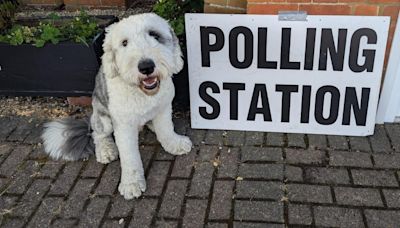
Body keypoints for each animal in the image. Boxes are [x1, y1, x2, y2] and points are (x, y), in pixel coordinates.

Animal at [41, 13, 193, 200]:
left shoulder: (163, 108)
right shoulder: (124, 126)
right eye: (124, 43)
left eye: (154, 35)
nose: (146, 66)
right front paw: (131, 183)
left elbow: (166, 130)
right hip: (102, 119)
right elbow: (129, 156)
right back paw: (106, 150)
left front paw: (174, 144)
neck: (142, 93)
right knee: (97, 134)